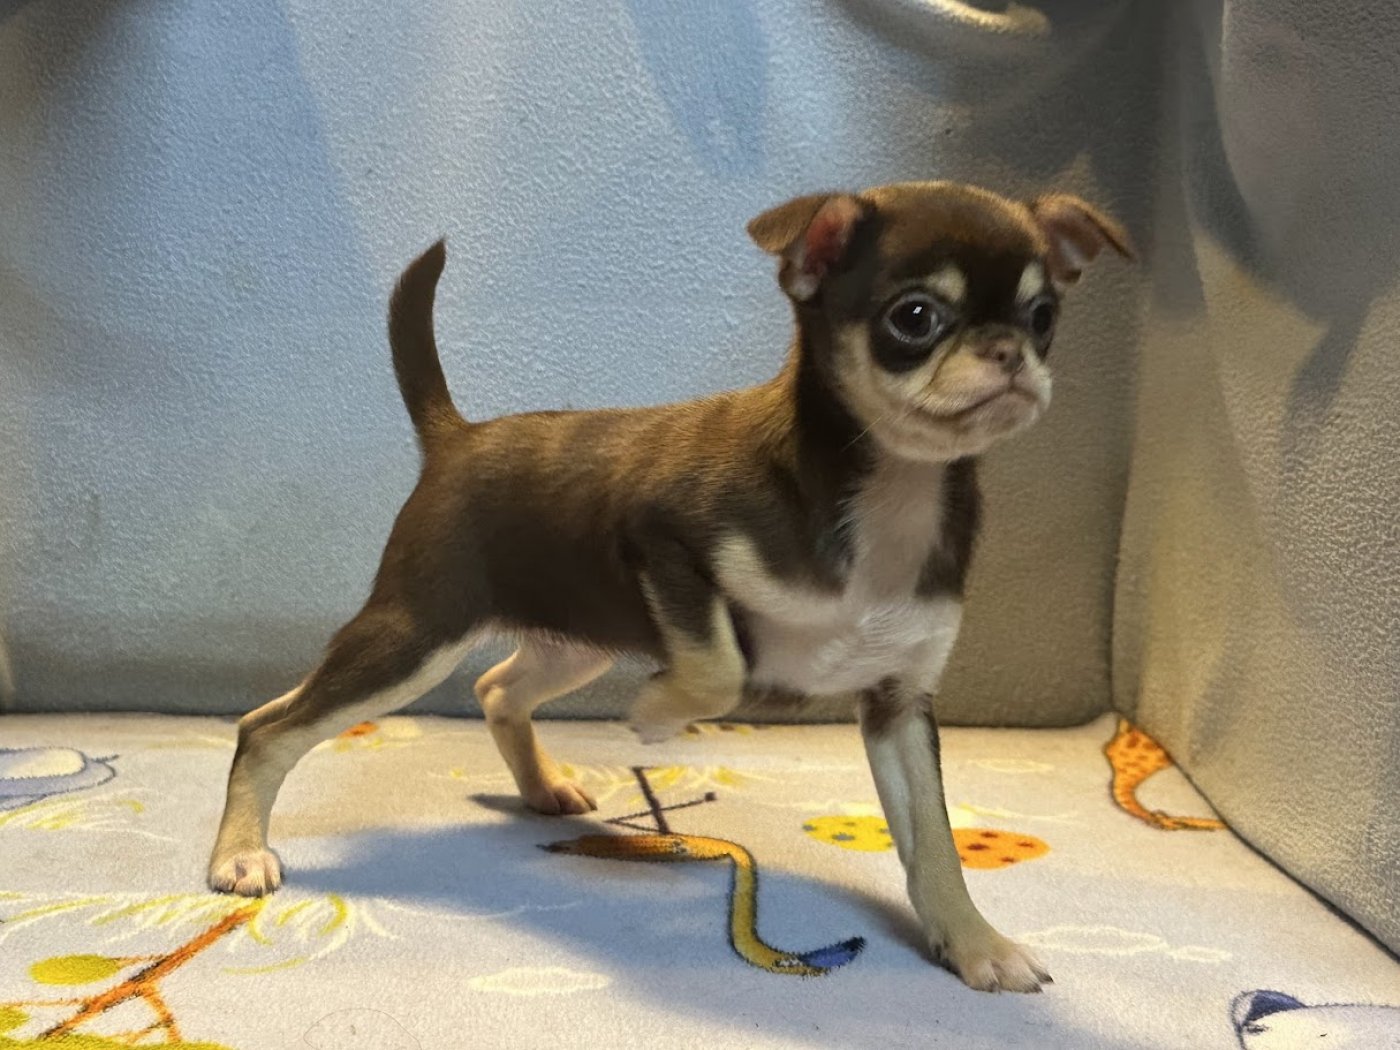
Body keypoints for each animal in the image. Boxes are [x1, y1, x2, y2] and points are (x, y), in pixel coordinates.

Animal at [208, 180, 1131, 993]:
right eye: (914, 318)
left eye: (1044, 318)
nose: (1011, 352)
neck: (889, 490)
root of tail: (456, 436)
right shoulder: (665, 543)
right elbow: (721, 667)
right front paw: (656, 715)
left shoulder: (899, 704)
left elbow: (933, 839)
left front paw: (975, 943)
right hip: (417, 634)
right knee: (269, 725)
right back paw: (238, 853)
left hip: (573, 637)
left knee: (496, 686)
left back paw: (542, 787)